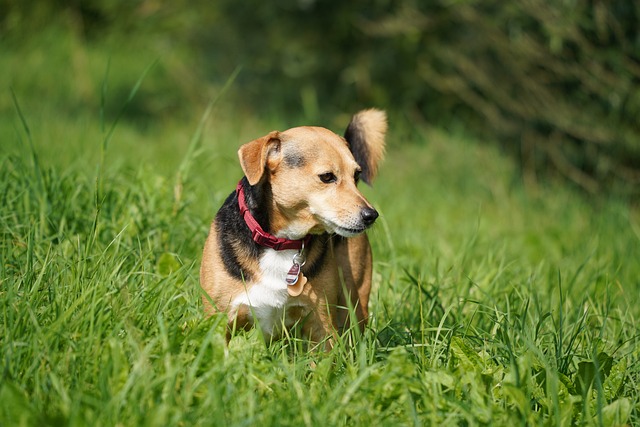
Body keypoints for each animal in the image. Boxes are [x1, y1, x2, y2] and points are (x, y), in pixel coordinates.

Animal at [200, 109, 388, 348]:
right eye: (327, 177)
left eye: (356, 176)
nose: (371, 215)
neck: (280, 242)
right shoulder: (218, 318)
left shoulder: (321, 326)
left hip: (354, 304)